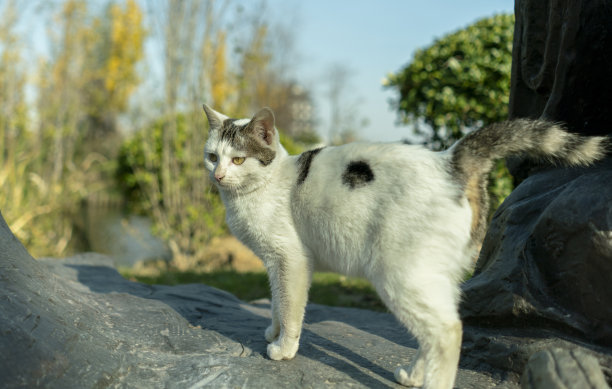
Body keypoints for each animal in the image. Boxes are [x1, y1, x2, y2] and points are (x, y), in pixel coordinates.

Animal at [202, 104, 608, 388]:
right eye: (212, 156)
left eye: (238, 159)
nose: (218, 175)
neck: (267, 184)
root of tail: (450, 161)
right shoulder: (275, 265)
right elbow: (275, 303)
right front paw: (271, 332)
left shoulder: (291, 261)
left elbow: (289, 308)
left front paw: (283, 349)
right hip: (433, 279)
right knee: (434, 332)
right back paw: (414, 376)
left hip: (400, 276)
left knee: (448, 333)